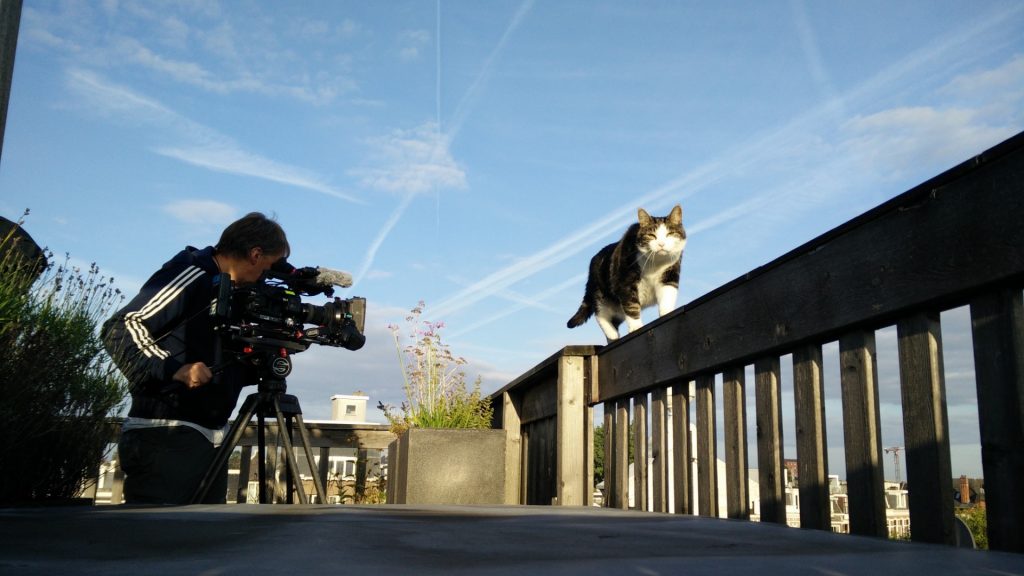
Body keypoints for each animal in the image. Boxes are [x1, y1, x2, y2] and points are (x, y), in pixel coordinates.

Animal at [569, 203, 688, 340]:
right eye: (651, 235)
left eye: (670, 234)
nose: (661, 244)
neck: (655, 263)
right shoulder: (625, 282)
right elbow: (631, 306)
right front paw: (636, 327)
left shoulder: (670, 274)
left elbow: (668, 295)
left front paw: (667, 313)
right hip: (600, 293)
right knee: (600, 313)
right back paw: (612, 334)